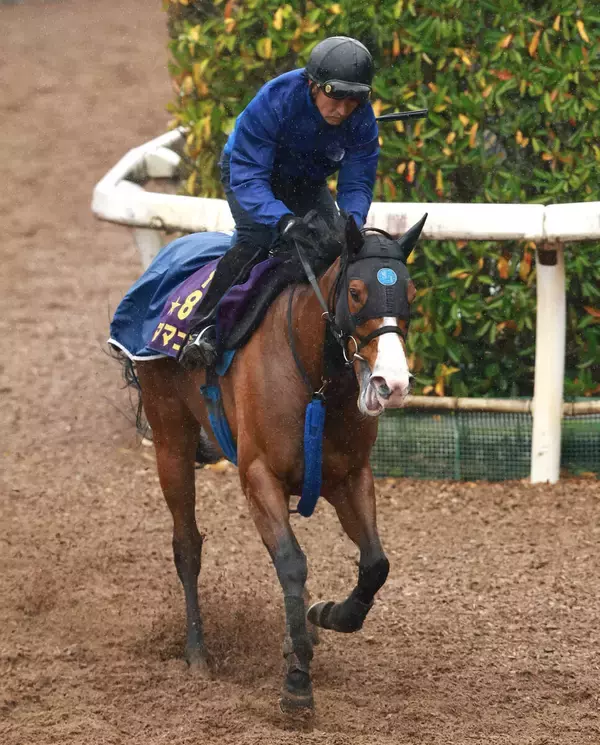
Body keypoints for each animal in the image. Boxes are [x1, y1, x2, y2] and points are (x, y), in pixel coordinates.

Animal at [130, 211, 425, 714]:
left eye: (411, 294)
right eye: (356, 292)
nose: (393, 384)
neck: (317, 380)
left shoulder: (350, 477)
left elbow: (375, 565)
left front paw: (326, 615)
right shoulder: (258, 476)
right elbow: (291, 562)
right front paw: (297, 681)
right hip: (170, 435)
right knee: (187, 545)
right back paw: (197, 653)